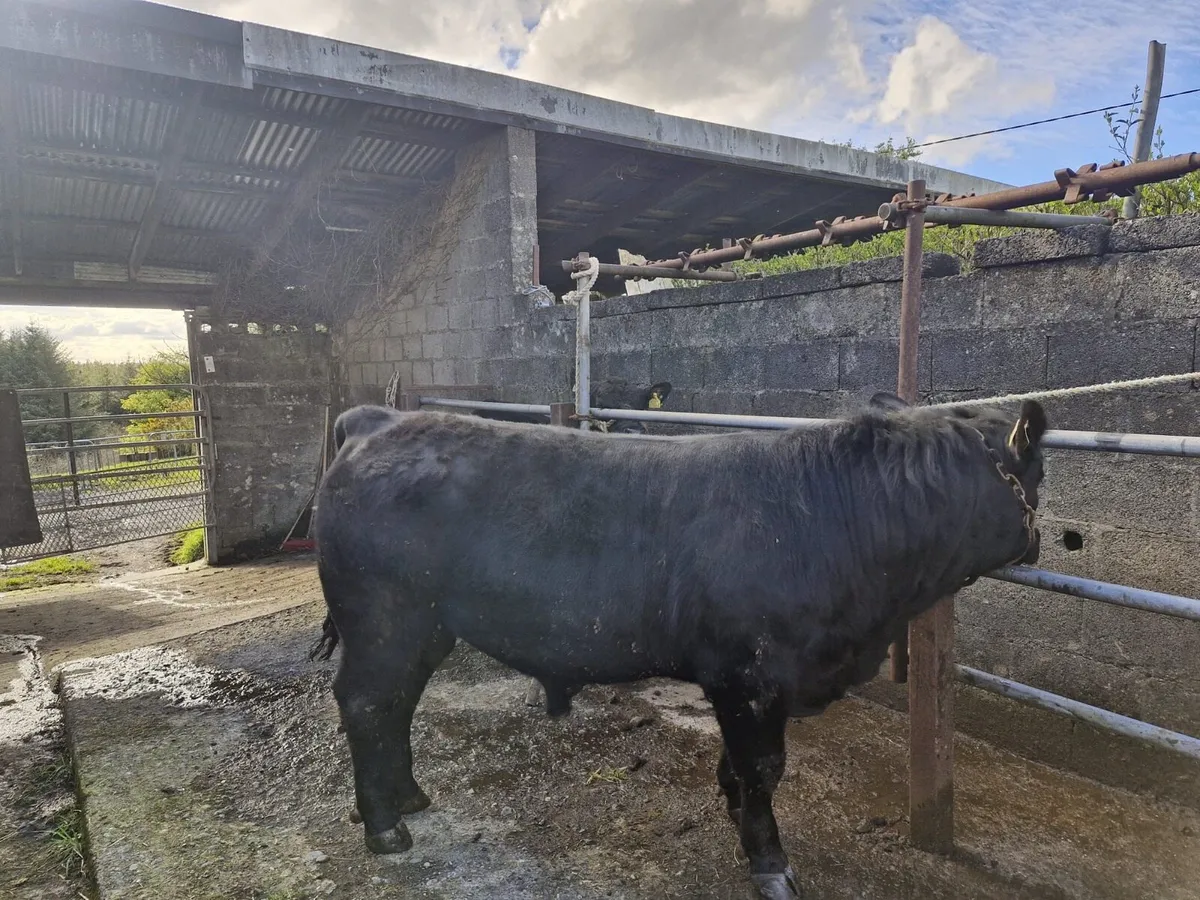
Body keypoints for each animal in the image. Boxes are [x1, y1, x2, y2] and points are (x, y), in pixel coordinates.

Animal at [310, 392, 1047, 899]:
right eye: (1037, 472)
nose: (1044, 541)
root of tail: (379, 421)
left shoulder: (744, 683)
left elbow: (737, 766)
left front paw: (734, 815)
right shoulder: (751, 676)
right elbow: (763, 768)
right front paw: (770, 864)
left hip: (425, 627)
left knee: (396, 707)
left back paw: (409, 796)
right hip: (384, 620)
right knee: (367, 704)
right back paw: (385, 827)